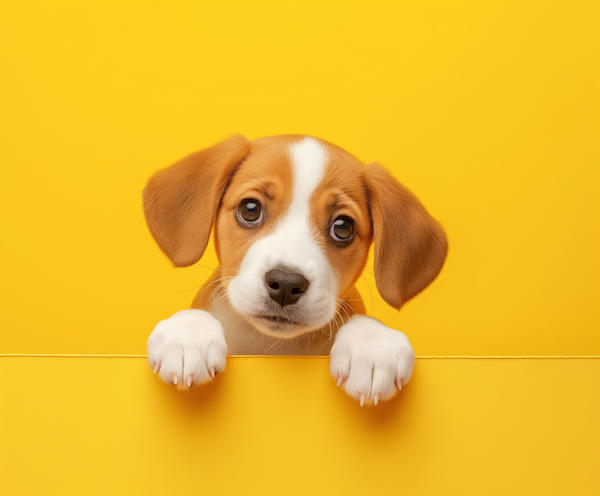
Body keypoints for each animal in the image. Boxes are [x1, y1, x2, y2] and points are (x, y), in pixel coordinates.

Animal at [143, 134, 448, 404]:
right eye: (250, 209)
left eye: (343, 228)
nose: (286, 283)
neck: (273, 345)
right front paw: (187, 334)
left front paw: (372, 344)